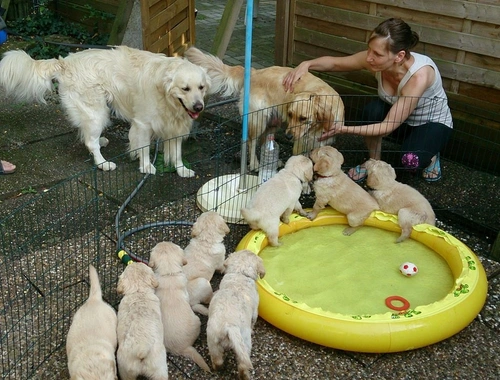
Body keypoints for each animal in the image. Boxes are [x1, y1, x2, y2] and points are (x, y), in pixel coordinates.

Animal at [0, 45, 210, 177]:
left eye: (201, 87)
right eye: (185, 88)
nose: (198, 107)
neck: (167, 97)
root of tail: (65, 61)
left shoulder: (175, 127)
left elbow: (177, 153)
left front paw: (181, 170)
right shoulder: (143, 123)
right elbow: (143, 148)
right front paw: (146, 167)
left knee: (88, 136)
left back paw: (100, 142)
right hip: (96, 111)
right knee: (90, 141)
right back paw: (103, 163)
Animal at [184, 46, 344, 171]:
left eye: (303, 118)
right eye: (290, 114)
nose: (288, 137)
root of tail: (255, 72)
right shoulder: (299, 145)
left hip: (273, 122)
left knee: (263, 142)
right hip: (258, 120)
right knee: (251, 141)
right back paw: (255, 164)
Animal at [205, 249, 266, 380]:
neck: (240, 273)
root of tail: (229, 326)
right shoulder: (255, 312)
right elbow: (253, 321)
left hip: (213, 342)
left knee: (217, 360)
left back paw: (218, 368)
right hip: (244, 342)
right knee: (242, 365)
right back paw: (245, 375)